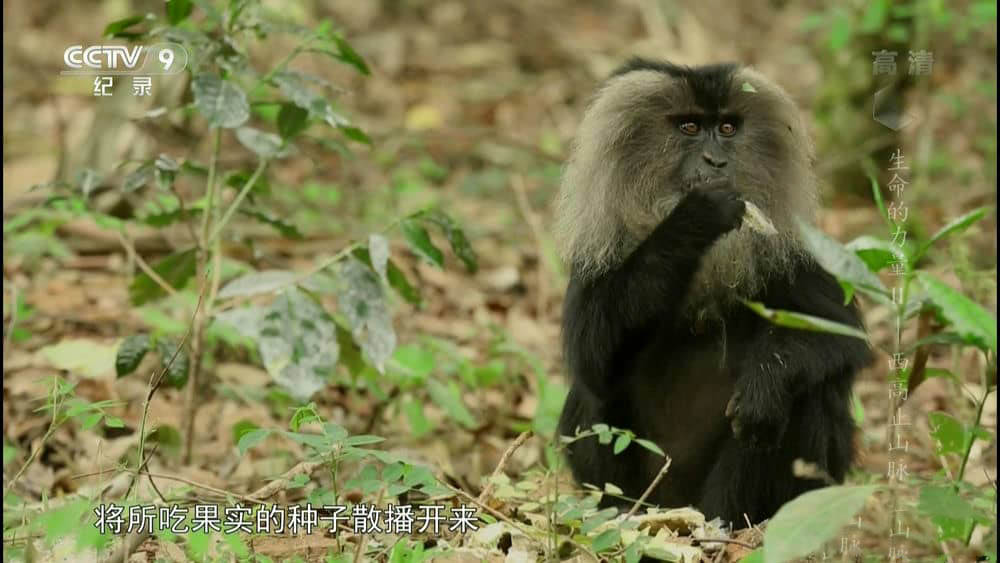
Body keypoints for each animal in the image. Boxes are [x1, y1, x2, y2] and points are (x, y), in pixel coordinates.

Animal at [556, 58, 876, 528]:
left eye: (726, 128)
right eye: (689, 127)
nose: (716, 160)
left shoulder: (795, 255)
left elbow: (841, 335)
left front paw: (766, 382)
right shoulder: (598, 251)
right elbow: (590, 358)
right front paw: (697, 216)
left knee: (808, 392)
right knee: (594, 395)